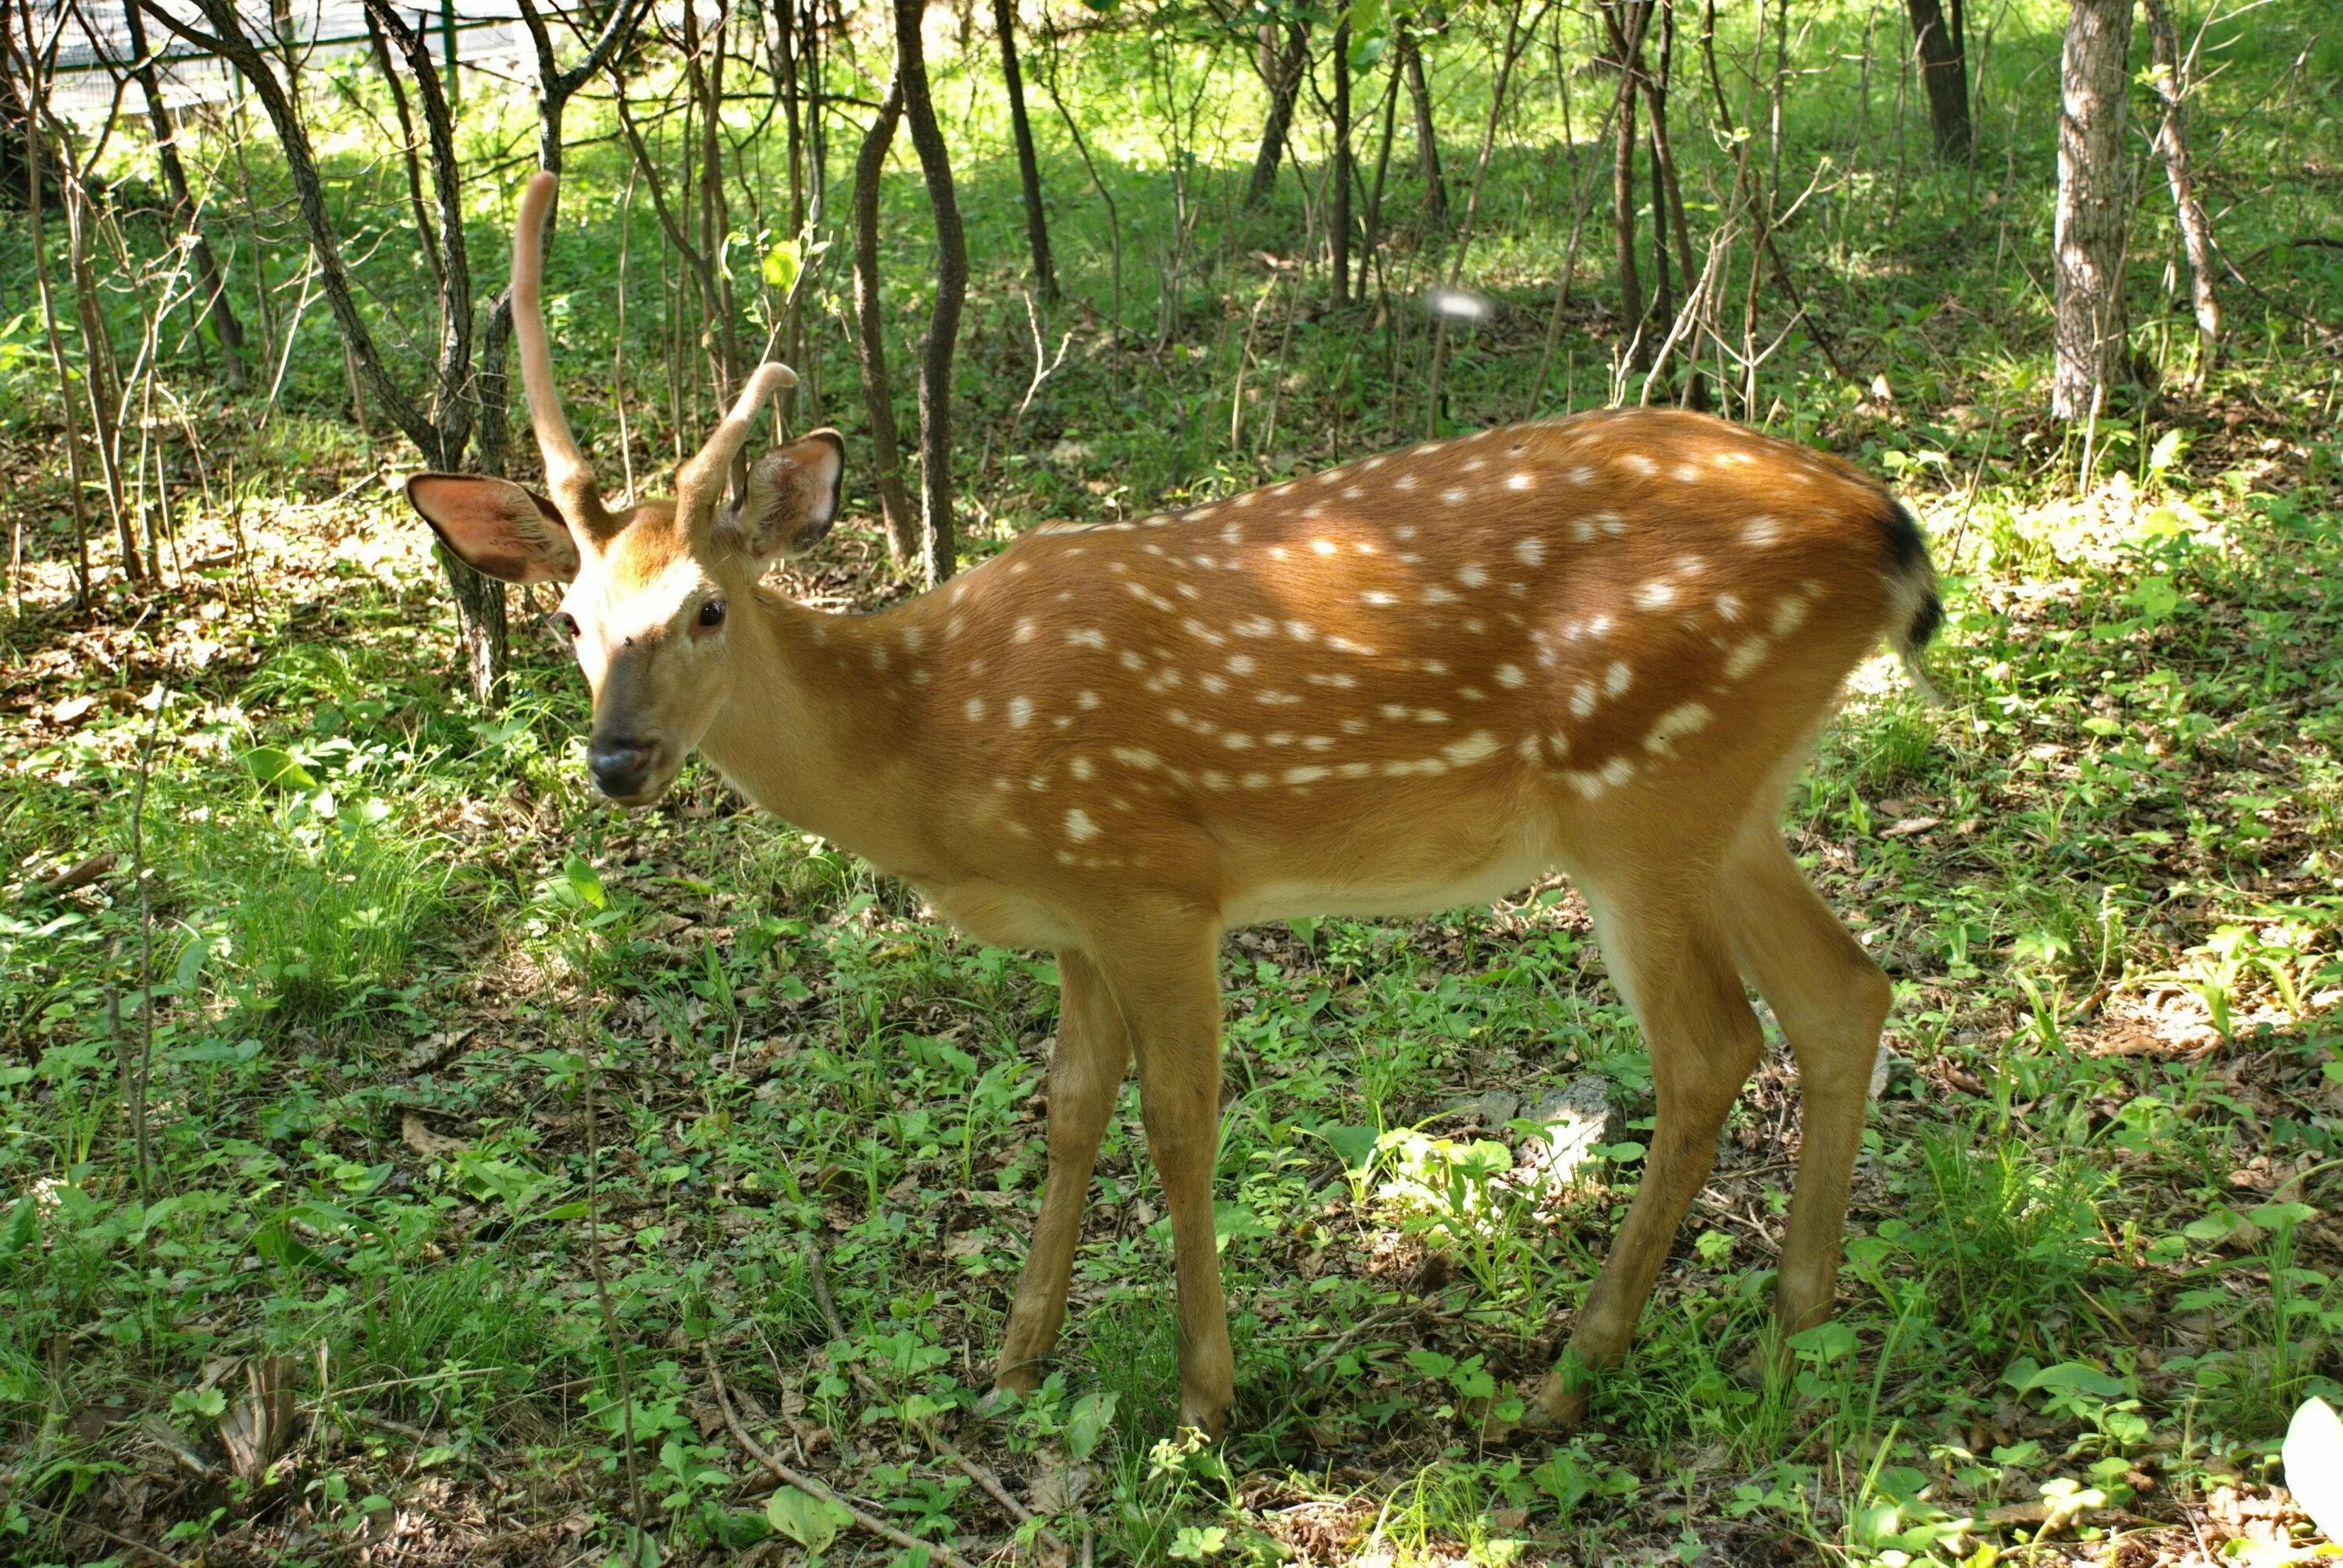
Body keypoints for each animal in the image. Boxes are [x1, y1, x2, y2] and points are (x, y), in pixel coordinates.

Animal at [408, 169, 1940, 1434]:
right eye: (568, 618)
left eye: (708, 608)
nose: (618, 759)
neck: (936, 745)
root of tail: (1887, 531)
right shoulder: (1076, 914)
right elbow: (1072, 1108)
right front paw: (1015, 1362)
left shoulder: (1154, 880)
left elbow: (1181, 1122)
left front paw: (1205, 1396)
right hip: (1728, 796)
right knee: (1845, 993)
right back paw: (1790, 1336)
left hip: (1642, 797)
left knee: (1711, 1049)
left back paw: (1570, 1374)